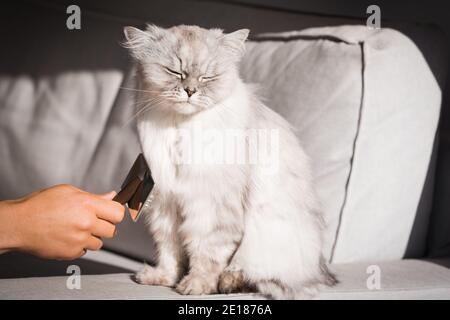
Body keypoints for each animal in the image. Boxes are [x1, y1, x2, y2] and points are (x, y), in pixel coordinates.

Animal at [121, 23, 336, 298]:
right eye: (175, 71)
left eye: (207, 77)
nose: (190, 91)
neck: (181, 127)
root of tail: (321, 270)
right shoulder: (166, 205)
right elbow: (170, 253)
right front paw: (162, 278)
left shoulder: (210, 205)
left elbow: (206, 254)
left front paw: (196, 286)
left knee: (252, 274)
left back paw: (229, 282)